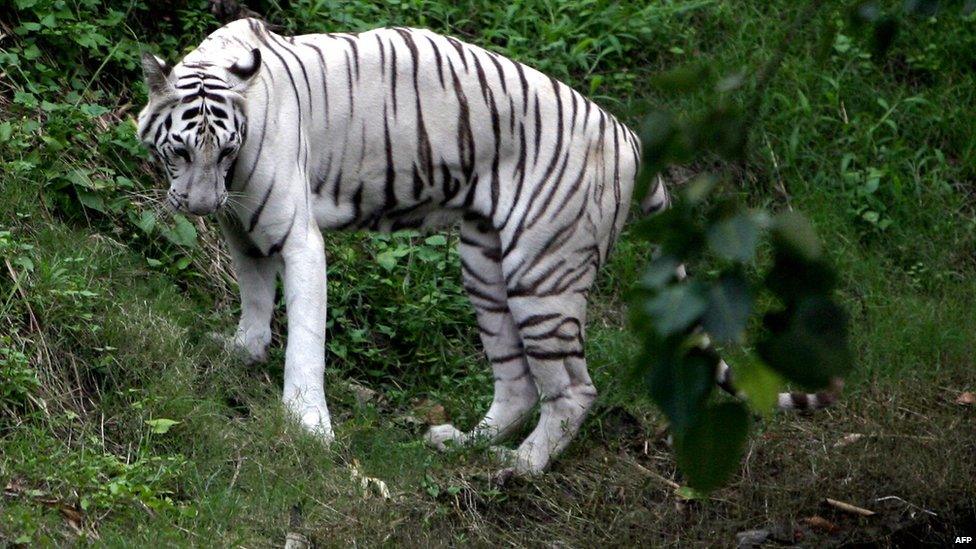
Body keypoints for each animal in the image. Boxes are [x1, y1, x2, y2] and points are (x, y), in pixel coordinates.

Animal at [137, 16, 836, 470]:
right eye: (181, 150)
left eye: (222, 150)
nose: (198, 205)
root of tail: (635, 142)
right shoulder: (245, 229)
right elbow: (255, 304)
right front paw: (238, 353)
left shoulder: (297, 235)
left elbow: (304, 338)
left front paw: (308, 428)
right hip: (486, 265)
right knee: (520, 383)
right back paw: (464, 443)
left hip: (542, 273)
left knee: (573, 390)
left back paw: (521, 467)